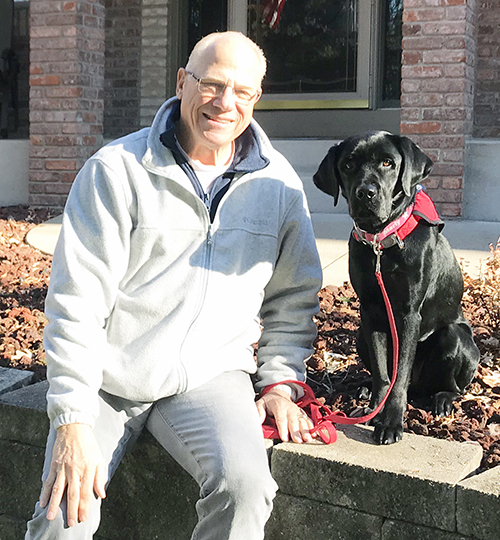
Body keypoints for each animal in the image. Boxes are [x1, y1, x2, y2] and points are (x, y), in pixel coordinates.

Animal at [312, 131, 480, 442]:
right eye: (348, 164)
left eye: (388, 162)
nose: (365, 192)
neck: (381, 243)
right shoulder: (371, 311)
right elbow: (383, 373)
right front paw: (375, 410)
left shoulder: (408, 314)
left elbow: (399, 375)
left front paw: (391, 421)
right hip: (359, 335)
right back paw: (365, 389)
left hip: (456, 338)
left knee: (453, 385)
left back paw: (442, 400)